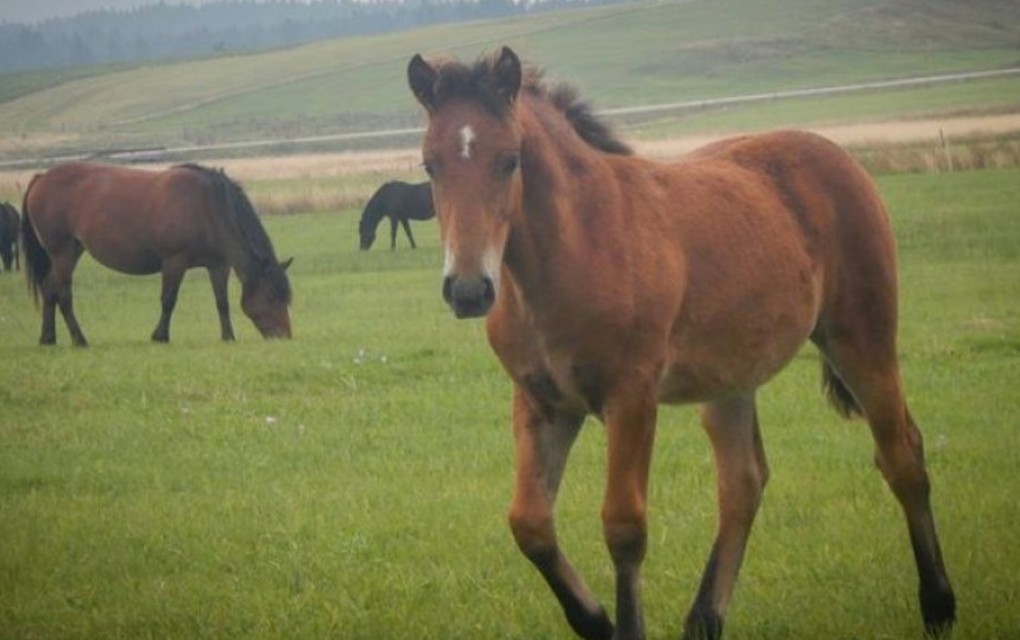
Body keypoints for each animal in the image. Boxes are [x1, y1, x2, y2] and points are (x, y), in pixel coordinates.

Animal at [21, 162, 293, 347]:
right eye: (273, 296)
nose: (285, 336)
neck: (207, 206)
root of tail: (40, 178)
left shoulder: (218, 266)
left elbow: (221, 302)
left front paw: (228, 336)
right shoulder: (174, 262)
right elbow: (168, 300)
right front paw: (160, 336)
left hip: (71, 251)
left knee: (49, 290)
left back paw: (48, 337)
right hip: (63, 253)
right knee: (64, 295)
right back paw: (79, 339)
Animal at [405, 46, 954, 640]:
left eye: (510, 160)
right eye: (430, 164)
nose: (468, 289)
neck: (573, 252)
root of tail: (839, 157)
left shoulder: (631, 397)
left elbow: (623, 526)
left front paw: (625, 626)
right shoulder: (543, 403)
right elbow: (529, 523)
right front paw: (597, 621)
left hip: (861, 339)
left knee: (901, 454)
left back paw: (939, 605)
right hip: (733, 376)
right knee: (743, 482)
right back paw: (704, 619)